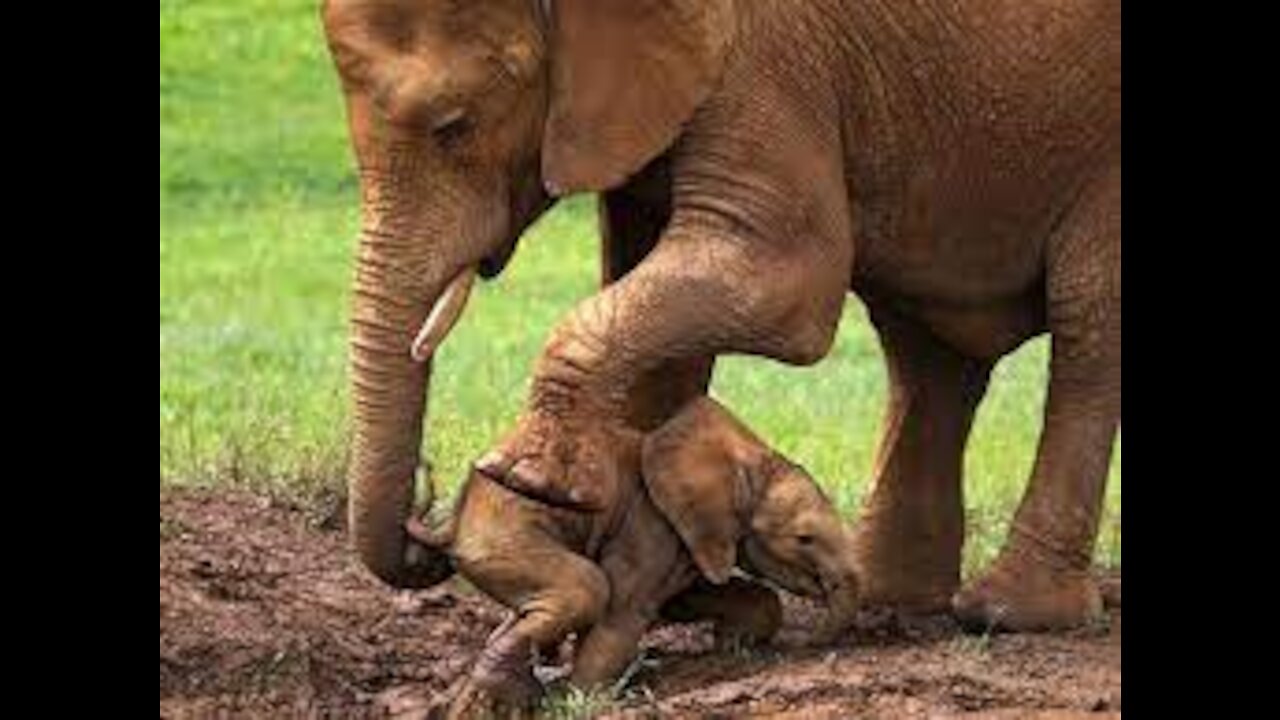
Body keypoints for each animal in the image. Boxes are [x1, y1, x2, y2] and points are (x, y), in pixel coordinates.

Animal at [322, 0, 1121, 627]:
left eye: (454, 125)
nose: (427, 530)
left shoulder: (766, 60)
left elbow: (781, 278)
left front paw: (526, 478)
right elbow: (651, 298)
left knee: (1087, 324)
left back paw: (1009, 613)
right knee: (924, 353)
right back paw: (893, 599)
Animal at [412, 394, 860, 712]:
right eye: (805, 539)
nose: (814, 646)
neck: (746, 460)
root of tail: (451, 521)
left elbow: (684, 597)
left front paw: (733, 645)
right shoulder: (650, 522)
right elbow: (624, 611)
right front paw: (579, 702)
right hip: (504, 536)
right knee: (586, 589)